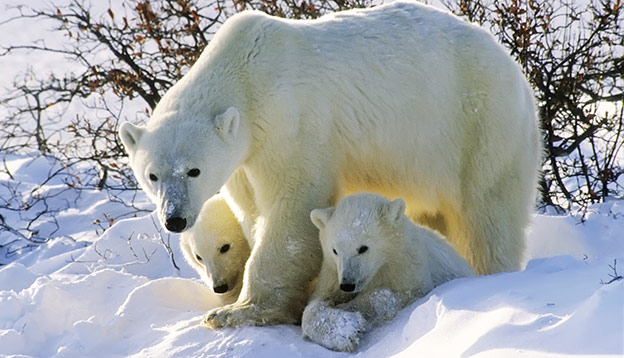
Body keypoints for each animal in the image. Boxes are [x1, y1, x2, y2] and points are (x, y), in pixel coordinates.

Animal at [119, 1, 540, 328]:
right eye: (152, 175)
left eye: (193, 170)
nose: (175, 219)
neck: (245, 73)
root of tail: (518, 74)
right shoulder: (243, 160)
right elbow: (252, 212)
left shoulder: (291, 122)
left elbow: (292, 208)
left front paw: (237, 311)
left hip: (480, 127)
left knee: (487, 215)